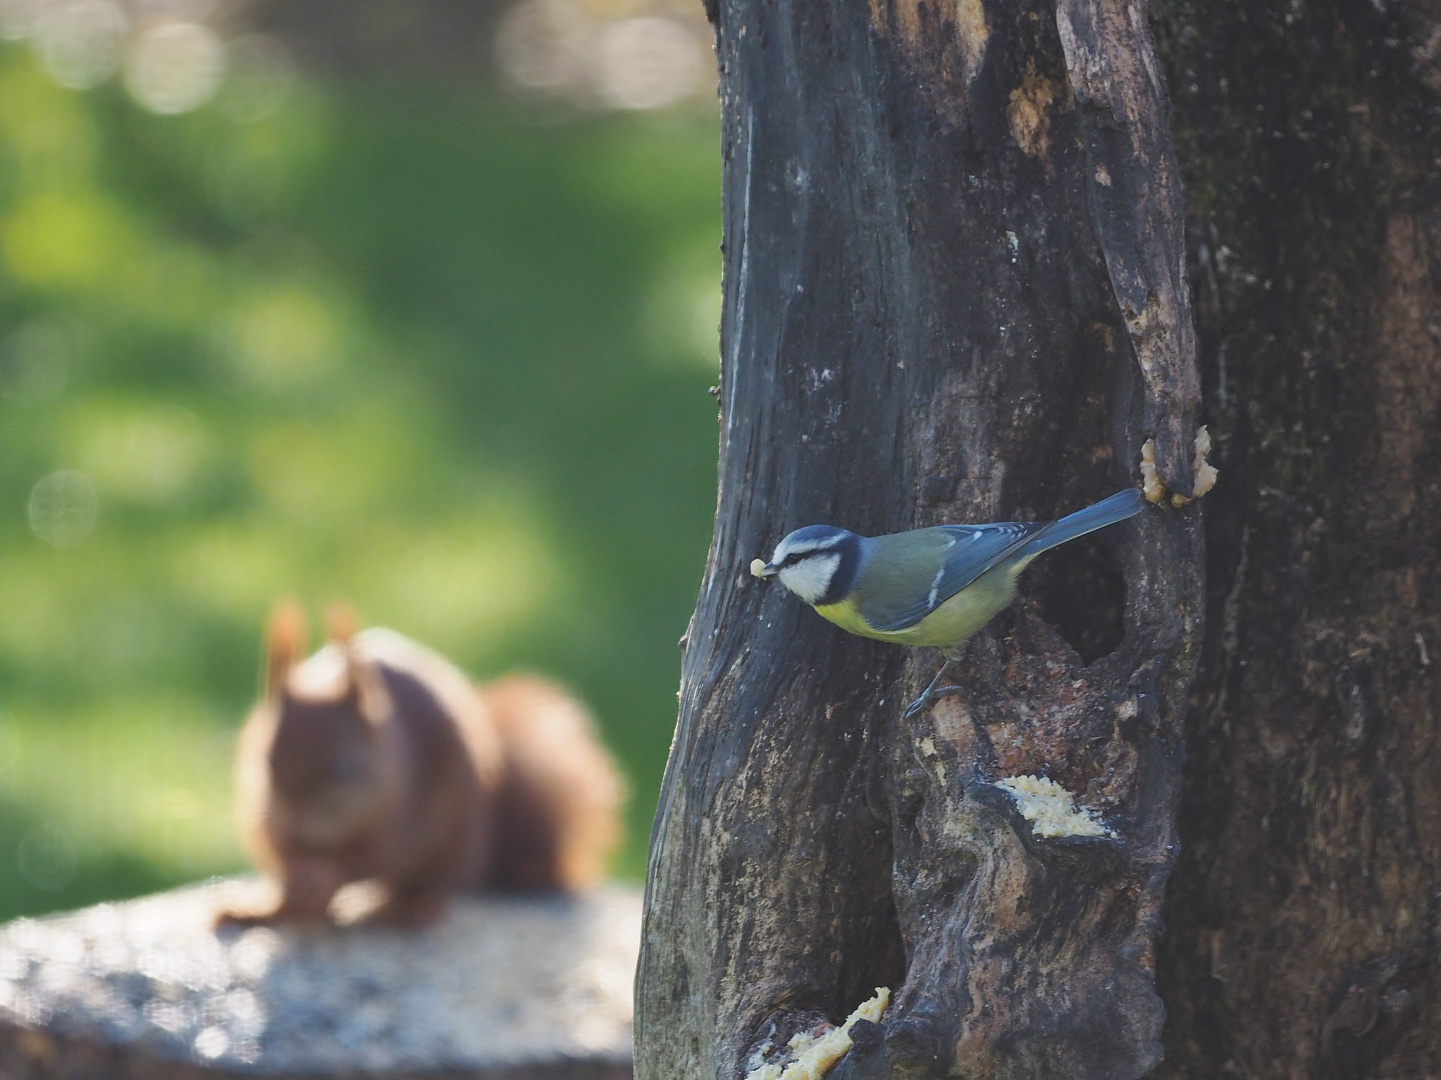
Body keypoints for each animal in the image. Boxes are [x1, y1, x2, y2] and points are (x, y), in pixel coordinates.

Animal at [216, 602, 622, 928]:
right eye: (267, 762)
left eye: (344, 767)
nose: (300, 818)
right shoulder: (270, 818)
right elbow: (284, 850)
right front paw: (298, 870)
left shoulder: (400, 812)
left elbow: (370, 858)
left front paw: (325, 874)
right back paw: (261, 911)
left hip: (451, 841)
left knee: (439, 884)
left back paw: (411, 909)